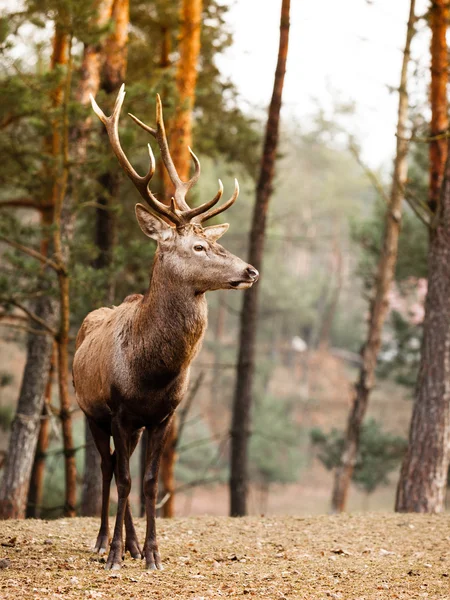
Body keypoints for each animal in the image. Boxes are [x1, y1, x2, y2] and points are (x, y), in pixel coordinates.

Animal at [72, 85, 258, 572]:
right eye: (198, 246)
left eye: (215, 240)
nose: (250, 270)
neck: (151, 371)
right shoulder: (118, 410)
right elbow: (123, 480)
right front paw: (115, 555)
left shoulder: (162, 416)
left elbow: (152, 482)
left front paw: (152, 554)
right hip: (89, 410)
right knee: (107, 468)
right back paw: (104, 541)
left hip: (132, 425)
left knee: (125, 471)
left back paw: (134, 544)